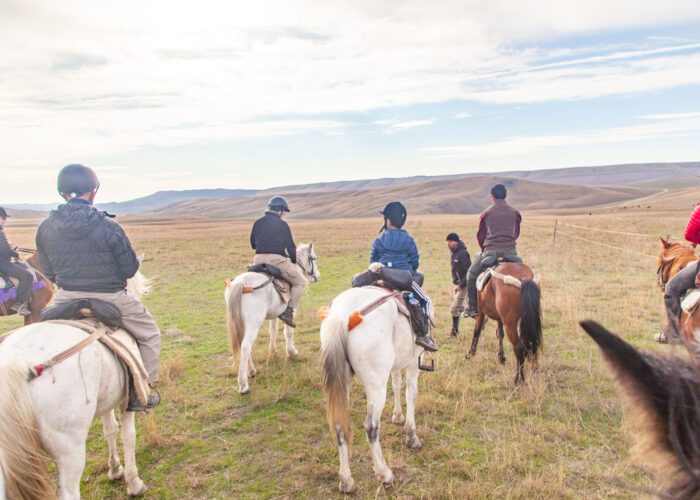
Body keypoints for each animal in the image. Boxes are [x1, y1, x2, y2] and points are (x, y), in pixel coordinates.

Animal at [0, 271, 152, 499]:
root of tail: (16, 364)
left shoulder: (107, 399)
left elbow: (110, 429)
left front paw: (115, 469)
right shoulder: (128, 400)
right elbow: (129, 436)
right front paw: (134, 483)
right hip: (69, 447)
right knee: (69, 492)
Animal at [225, 243, 320, 394]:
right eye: (314, 258)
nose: (317, 275)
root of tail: (240, 283)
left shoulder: (275, 313)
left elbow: (273, 330)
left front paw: (273, 351)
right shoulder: (291, 311)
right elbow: (288, 331)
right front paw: (291, 352)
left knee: (242, 344)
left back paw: (251, 371)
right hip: (253, 325)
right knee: (245, 347)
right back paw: (243, 384)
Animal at [320, 286, 424, 493]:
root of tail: (342, 315)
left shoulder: (396, 365)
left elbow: (397, 384)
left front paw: (397, 416)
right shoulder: (413, 362)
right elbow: (411, 394)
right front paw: (411, 435)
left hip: (343, 383)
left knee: (339, 427)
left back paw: (346, 481)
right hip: (375, 386)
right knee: (371, 428)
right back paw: (384, 473)